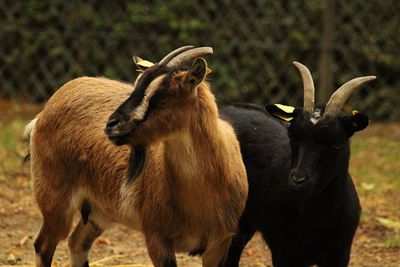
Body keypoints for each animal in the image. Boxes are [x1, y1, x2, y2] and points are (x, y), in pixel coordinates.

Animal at [25, 46, 247, 267]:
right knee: (43, 244)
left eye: (162, 94)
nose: (111, 125)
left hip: (99, 212)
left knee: (77, 242)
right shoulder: (157, 237)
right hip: (56, 201)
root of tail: (47, 109)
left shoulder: (219, 244)